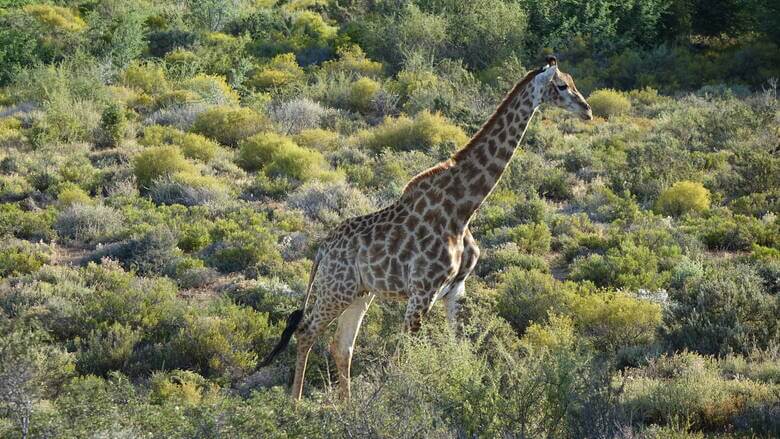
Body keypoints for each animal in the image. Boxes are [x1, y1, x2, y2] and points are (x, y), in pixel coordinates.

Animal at [258, 55, 596, 402]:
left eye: (572, 83)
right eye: (561, 86)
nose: (587, 110)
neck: (463, 209)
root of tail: (322, 248)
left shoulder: (455, 290)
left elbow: (457, 348)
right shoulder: (423, 291)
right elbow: (402, 357)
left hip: (359, 293)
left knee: (342, 346)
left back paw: (346, 407)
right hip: (335, 289)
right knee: (306, 331)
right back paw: (296, 404)